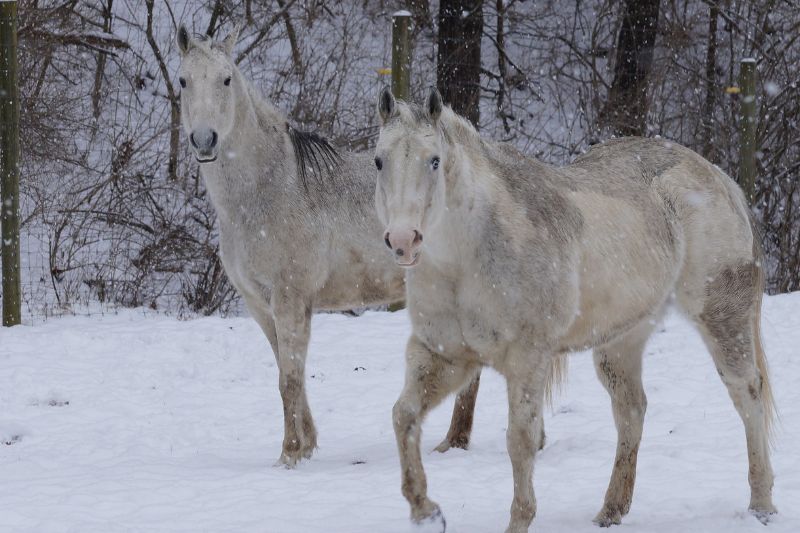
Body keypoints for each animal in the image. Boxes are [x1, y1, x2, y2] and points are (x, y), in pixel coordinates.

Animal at [174, 26, 482, 466]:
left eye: (226, 80)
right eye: (183, 80)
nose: (204, 140)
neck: (266, 190)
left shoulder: (290, 298)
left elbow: (288, 379)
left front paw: (288, 456)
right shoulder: (261, 305)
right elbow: (290, 374)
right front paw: (306, 446)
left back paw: (453, 443)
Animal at [374, 87, 776, 532]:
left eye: (434, 160)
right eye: (379, 160)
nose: (403, 240)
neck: (466, 256)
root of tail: (718, 178)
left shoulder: (527, 359)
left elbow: (520, 440)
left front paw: (518, 521)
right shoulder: (443, 355)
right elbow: (403, 415)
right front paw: (425, 509)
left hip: (721, 316)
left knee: (747, 393)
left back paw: (762, 505)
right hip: (621, 341)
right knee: (631, 410)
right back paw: (611, 510)